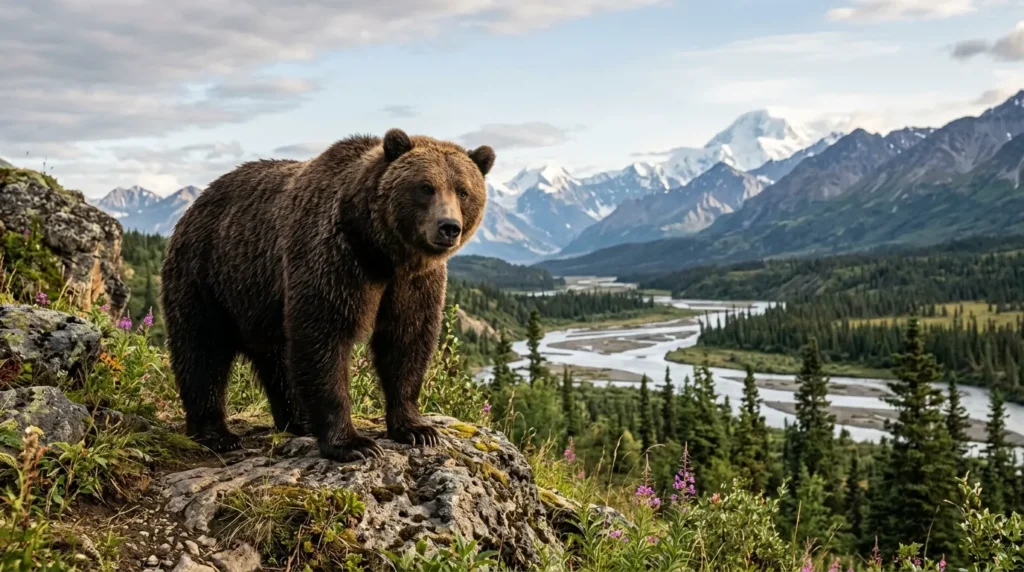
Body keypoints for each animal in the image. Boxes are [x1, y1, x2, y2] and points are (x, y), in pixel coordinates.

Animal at [159, 128, 495, 462]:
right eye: (425, 187)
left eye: (463, 191)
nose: (448, 227)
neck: (381, 252)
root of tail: (196, 204)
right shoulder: (334, 257)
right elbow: (325, 336)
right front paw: (352, 443)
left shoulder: (413, 282)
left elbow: (407, 340)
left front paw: (417, 429)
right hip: (207, 275)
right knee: (202, 350)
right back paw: (216, 434)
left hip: (260, 301)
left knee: (277, 357)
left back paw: (299, 419)